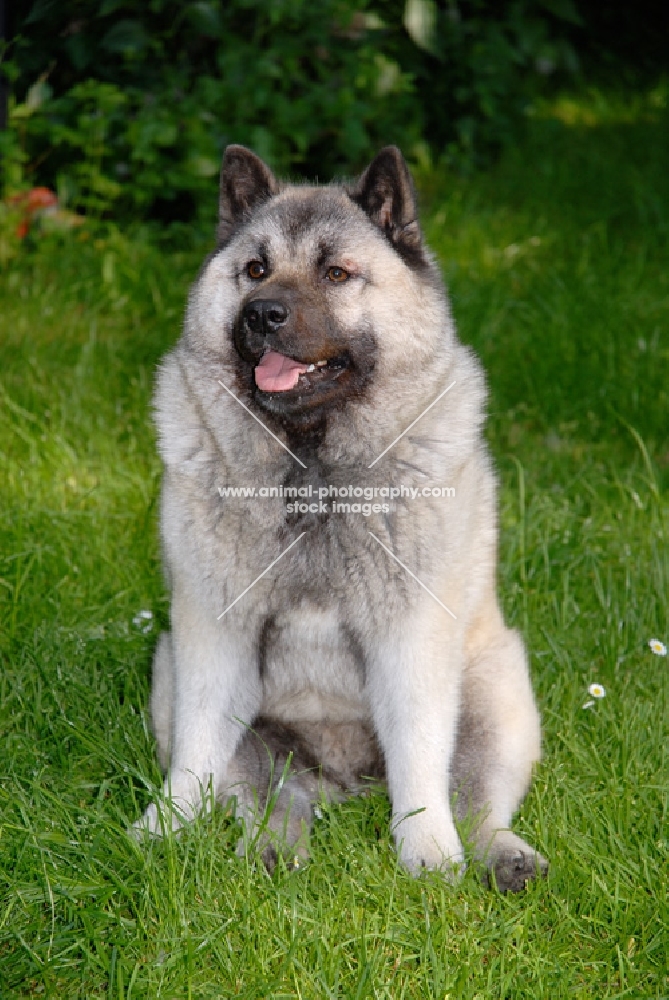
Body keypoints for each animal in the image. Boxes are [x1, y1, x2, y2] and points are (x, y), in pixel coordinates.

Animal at [137, 143, 548, 892]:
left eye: (335, 274)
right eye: (255, 269)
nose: (262, 314)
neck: (312, 473)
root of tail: (346, 783)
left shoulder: (410, 645)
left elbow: (422, 763)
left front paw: (426, 857)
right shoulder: (211, 640)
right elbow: (196, 752)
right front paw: (164, 829)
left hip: (496, 688)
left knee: (475, 803)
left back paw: (501, 857)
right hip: (180, 677)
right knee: (271, 798)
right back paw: (270, 849)